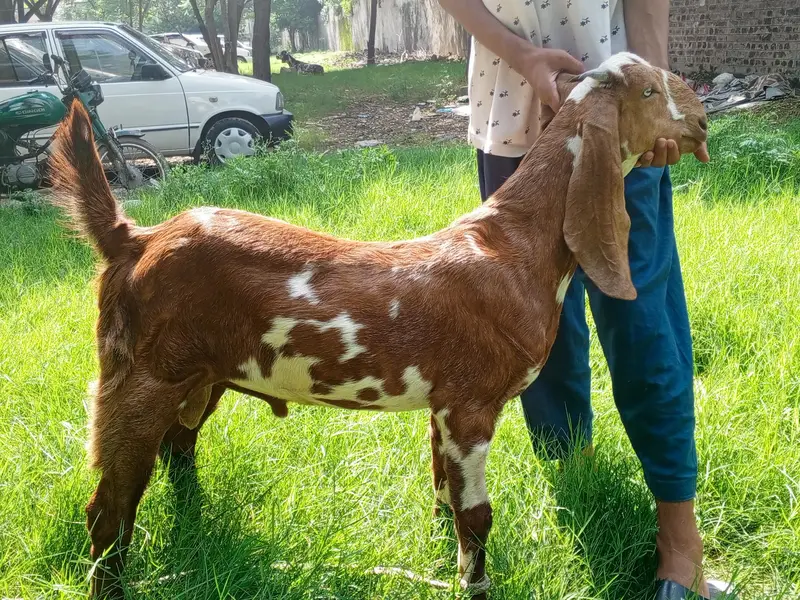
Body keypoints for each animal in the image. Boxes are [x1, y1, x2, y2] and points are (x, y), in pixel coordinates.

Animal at [50, 52, 707, 599]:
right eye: (650, 90)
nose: (700, 116)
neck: (513, 245)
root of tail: (133, 238)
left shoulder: (443, 405)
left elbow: (443, 488)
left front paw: (445, 559)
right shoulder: (472, 403)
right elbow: (478, 515)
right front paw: (476, 586)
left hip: (201, 377)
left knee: (176, 450)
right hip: (140, 377)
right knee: (109, 507)